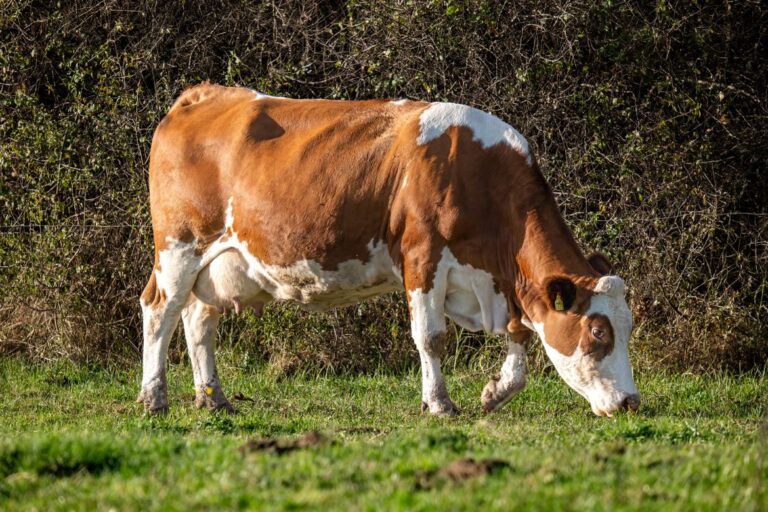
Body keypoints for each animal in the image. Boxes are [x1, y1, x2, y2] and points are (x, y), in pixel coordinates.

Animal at [137, 83, 640, 417]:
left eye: (628, 327)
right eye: (599, 333)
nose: (631, 401)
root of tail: (205, 95)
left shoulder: (503, 282)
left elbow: (520, 335)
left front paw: (495, 391)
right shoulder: (422, 256)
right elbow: (431, 337)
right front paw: (439, 404)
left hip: (219, 263)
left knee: (199, 319)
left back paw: (213, 399)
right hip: (180, 246)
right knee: (160, 310)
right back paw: (153, 397)